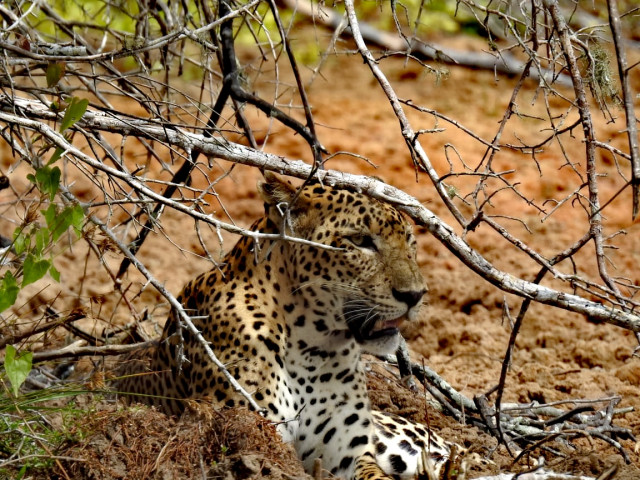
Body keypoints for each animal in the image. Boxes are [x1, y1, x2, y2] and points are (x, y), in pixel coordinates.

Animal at [118, 173, 452, 479]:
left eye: (410, 241)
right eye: (360, 241)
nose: (416, 294)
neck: (312, 345)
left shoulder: (350, 455)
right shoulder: (258, 439)